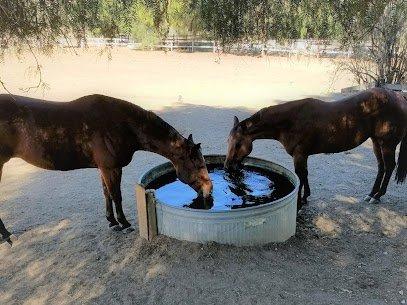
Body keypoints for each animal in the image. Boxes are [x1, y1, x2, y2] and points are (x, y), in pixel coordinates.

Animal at [0, 94, 214, 243]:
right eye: (197, 163)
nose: (210, 189)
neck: (123, 125)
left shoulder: (102, 168)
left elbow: (106, 194)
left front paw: (112, 221)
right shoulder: (112, 168)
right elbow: (116, 195)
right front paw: (124, 223)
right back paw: (7, 235)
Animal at [225, 88, 407, 210]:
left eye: (238, 143)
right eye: (228, 141)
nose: (227, 166)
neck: (290, 121)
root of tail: (399, 96)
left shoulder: (299, 155)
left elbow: (300, 177)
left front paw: (299, 203)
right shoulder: (302, 156)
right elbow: (304, 175)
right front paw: (306, 197)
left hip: (387, 144)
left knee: (389, 166)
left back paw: (378, 195)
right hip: (377, 142)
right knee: (381, 167)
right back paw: (372, 194)